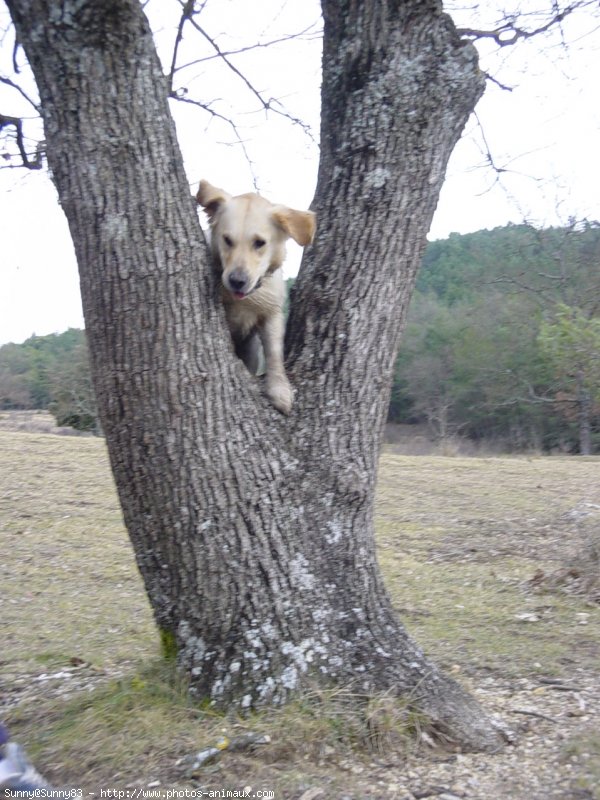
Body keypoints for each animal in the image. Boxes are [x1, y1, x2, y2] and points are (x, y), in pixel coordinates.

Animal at [198, 180, 318, 412]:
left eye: (259, 243)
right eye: (227, 239)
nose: (237, 281)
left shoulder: (272, 314)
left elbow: (274, 353)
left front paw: (279, 390)